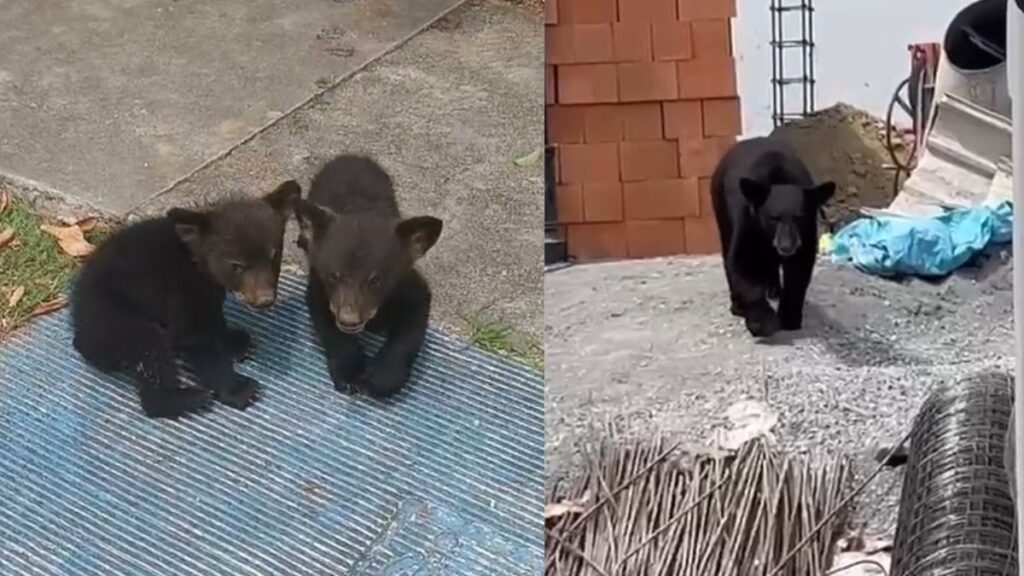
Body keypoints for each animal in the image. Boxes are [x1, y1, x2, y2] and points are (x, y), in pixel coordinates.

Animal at [71, 181, 301, 418]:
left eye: (273, 256)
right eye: (236, 265)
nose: (265, 300)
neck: (195, 259)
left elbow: (213, 319)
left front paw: (232, 341)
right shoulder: (182, 290)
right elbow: (195, 341)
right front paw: (237, 388)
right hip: (114, 315)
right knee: (149, 349)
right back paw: (186, 398)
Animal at [294, 155, 443, 398]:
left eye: (376, 279)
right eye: (334, 275)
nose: (349, 319)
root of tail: (350, 156)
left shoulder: (411, 287)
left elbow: (412, 330)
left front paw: (384, 375)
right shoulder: (318, 288)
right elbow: (329, 328)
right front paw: (350, 372)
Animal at [709, 136, 835, 338]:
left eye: (799, 217)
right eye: (773, 217)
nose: (787, 246)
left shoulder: (806, 233)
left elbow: (799, 272)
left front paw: (790, 318)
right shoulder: (748, 219)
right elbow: (743, 263)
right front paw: (762, 322)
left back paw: (774, 289)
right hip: (720, 206)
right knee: (727, 250)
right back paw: (737, 305)